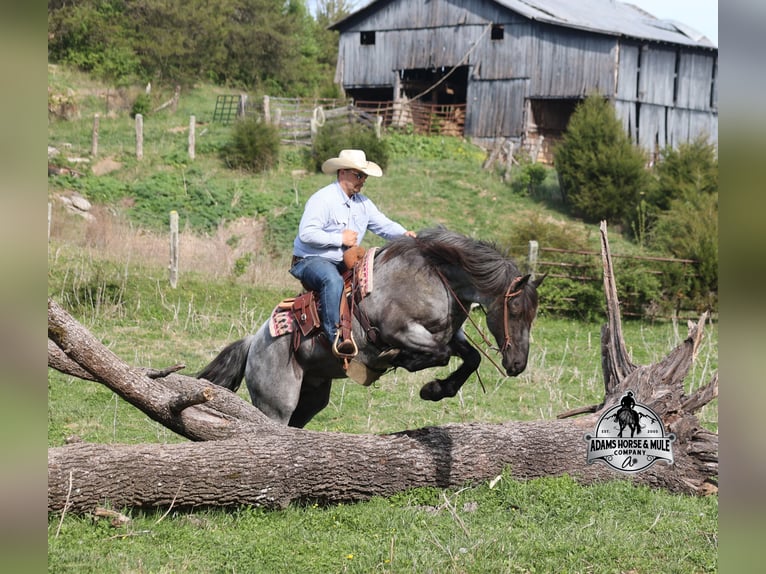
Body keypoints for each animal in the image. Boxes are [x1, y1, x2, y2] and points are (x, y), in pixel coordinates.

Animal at [197, 227, 544, 427]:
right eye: (515, 309)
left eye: (534, 314)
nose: (517, 364)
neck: (434, 276)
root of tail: (254, 343)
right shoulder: (400, 331)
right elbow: (439, 354)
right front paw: (404, 363)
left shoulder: (448, 333)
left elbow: (469, 357)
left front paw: (435, 390)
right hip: (275, 403)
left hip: (311, 398)